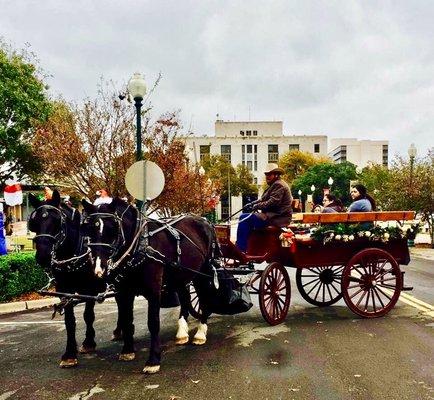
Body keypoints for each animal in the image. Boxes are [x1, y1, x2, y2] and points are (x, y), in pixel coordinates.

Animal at [28, 191, 114, 368]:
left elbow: (88, 315)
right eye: (34, 223)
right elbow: (69, 320)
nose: (43, 256)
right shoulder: (63, 289)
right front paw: (69, 353)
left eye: (57, 222)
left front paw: (88, 343)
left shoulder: (90, 289)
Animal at [82, 198, 219, 374]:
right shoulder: (124, 291)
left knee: (204, 297)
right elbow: (126, 319)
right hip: (181, 274)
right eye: (90, 229)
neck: (139, 244)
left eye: (112, 228)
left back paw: (201, 332)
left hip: (203, 272)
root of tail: (205, 221)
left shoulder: (154, 288)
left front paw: (153, 360)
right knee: (185, 298)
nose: (99, 268)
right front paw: (127, 350)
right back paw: (182, 333)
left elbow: (153, 322)